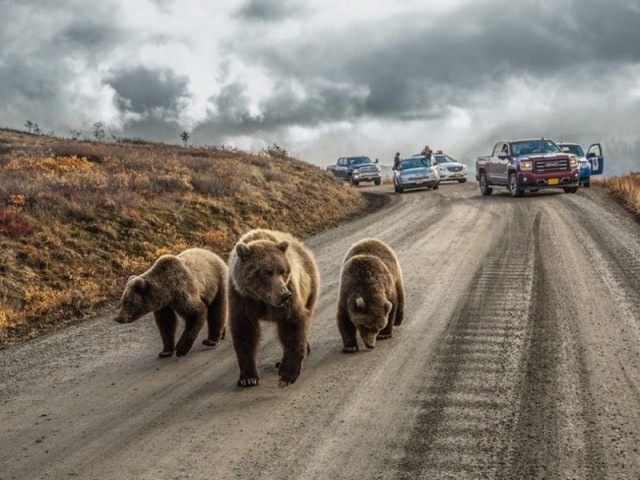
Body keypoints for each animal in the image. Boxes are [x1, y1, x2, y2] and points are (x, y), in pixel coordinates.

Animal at [229, 227, 320, 388]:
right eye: (267, 272)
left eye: (283, 271)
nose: (285, 294)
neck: (261, 299)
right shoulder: (241, 298)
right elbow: (244, 333)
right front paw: (248, 378)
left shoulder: (290, 294)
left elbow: (292, 324)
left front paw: (287, 375)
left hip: (309, 286)